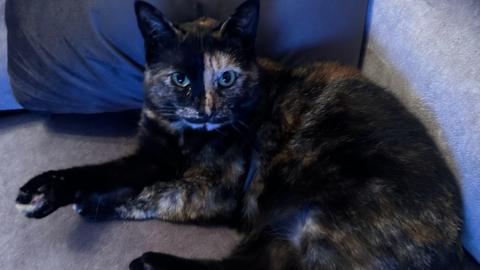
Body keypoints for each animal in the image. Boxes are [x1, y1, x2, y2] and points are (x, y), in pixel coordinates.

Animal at [16, 1, 464, 268]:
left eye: (227, 78)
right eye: (180, 79)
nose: (207, 109)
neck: (186, 136)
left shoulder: (215, 188)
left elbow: (156, 194)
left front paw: (94, 203)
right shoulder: (151, 155)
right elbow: (107, 172)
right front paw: (52, 190)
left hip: (316, 219)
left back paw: (150, 261)